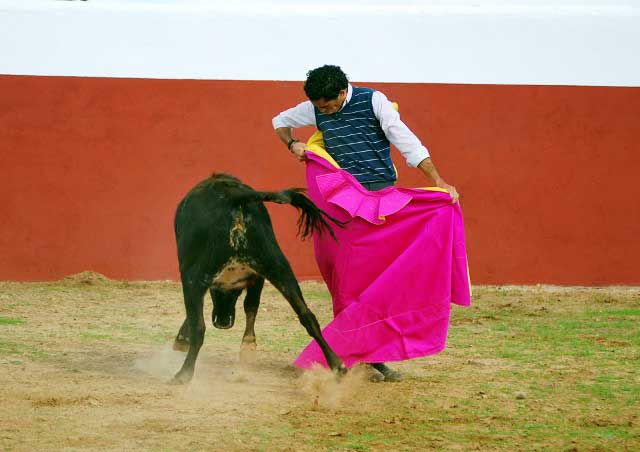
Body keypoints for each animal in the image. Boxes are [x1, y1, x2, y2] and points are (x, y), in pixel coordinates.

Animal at [171, 171, 344, 384]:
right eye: (233, 293)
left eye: (225, 293)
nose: (223, 323)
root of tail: (234, 197)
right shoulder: (257, 276)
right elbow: (251, 306)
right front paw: (248, 347)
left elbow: (195, 315)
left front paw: (182, 340)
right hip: (278, 265)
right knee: (307, 315)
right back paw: (338, 367)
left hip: (194, 274)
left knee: (199, 327)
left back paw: (183, 374)